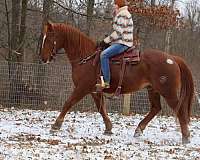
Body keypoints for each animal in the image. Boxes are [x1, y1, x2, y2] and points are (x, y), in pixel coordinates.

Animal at [40, 21, 194, 144]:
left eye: (48, 39)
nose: (42, 58)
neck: (86, 58)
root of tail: (172, 58)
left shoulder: (82, 88)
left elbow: (68, 103)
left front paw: (55, 125)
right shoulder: (94, 90)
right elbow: (101, 108)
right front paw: (108, 128)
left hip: (168, 92)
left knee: (179, 109)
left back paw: (186, 137)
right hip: (153, 89)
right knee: (156, 108)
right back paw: (139, 129)